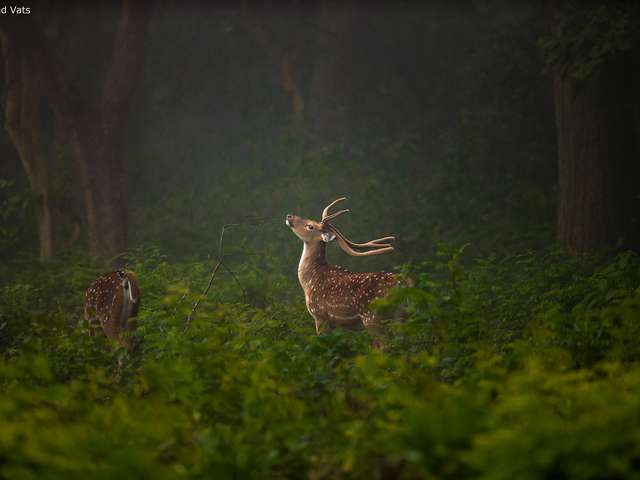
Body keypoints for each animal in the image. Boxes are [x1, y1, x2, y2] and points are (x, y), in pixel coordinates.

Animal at [286, 197, 399, 336]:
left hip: (373, 318)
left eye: (310, 226)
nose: (289, 216)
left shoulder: (320, 316)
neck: (308, 282)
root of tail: (402, 284)